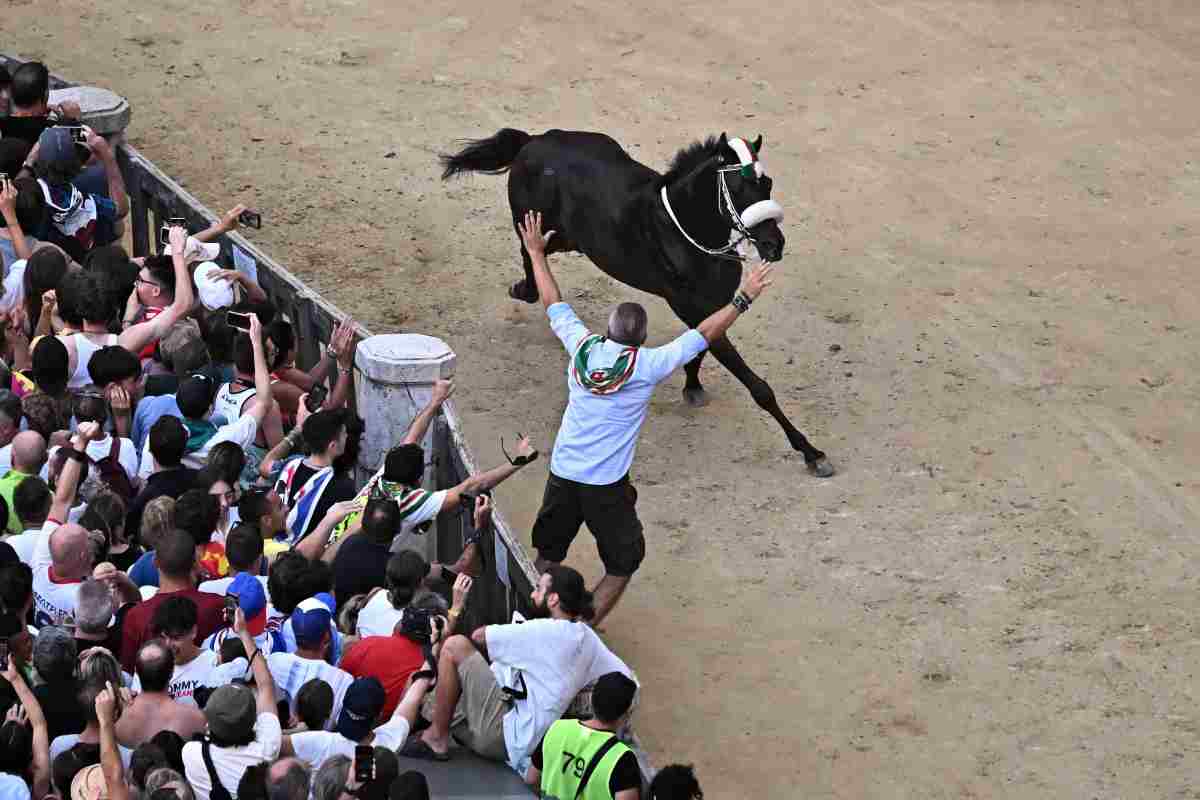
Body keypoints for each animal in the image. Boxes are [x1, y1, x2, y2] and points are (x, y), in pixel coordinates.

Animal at [444, 126, 835, 474]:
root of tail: (533, 141)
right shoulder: (690, 305)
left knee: (542, 250)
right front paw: (812, 453)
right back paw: (523, 289)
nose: (774, 245)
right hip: (534, 220)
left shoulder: (711, 304)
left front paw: (693, 387)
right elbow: (756, 385)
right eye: (738, 188)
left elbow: (702, 347)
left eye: (766, 184)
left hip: (574, 238)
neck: (686, 231)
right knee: (531, 250)